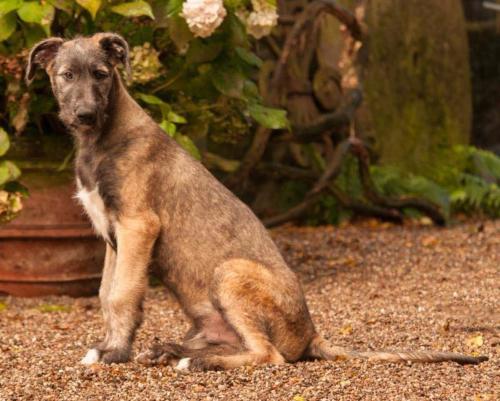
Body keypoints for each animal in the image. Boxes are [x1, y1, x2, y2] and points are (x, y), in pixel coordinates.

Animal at [26, 34, 488, 368]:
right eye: (67, 75)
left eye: (101, 74)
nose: (84, 115)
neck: (102, 139)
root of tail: (311, 333)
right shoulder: (111, 236)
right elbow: (105, 292)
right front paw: (108, 345)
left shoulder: (138, 226)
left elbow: (122, 293)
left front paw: (116, 353)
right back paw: (175, 351)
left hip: (231, 273)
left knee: (271, 356)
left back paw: (197, 362)